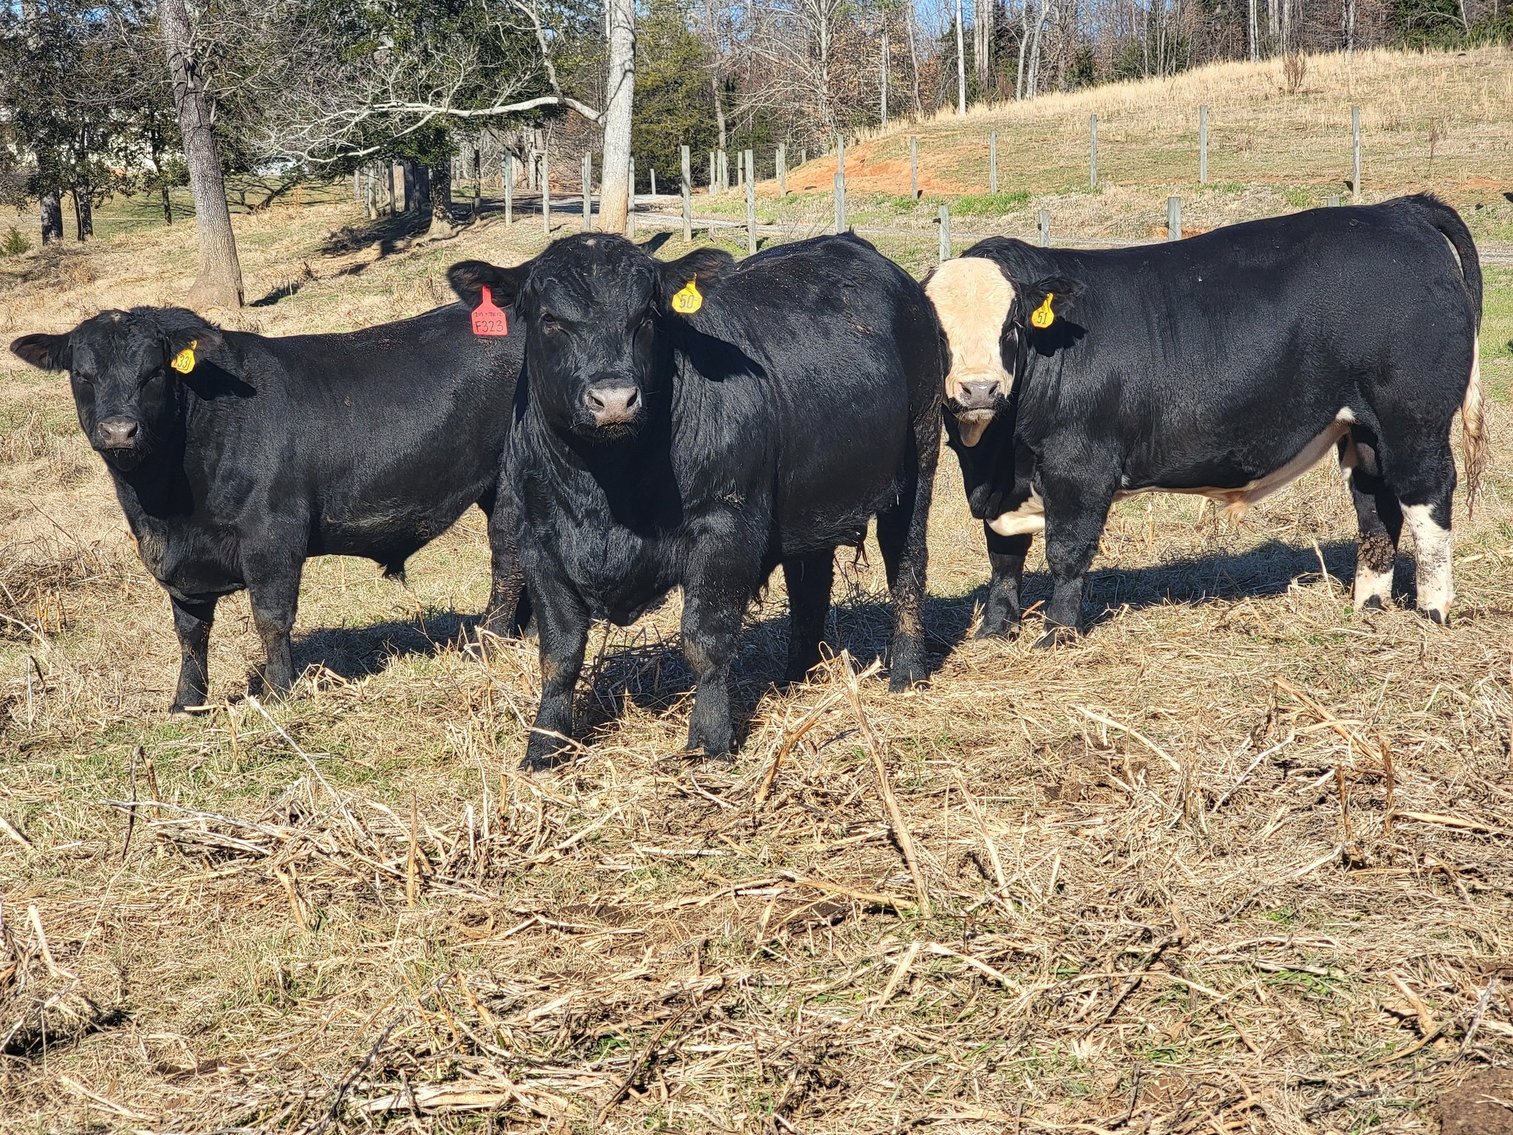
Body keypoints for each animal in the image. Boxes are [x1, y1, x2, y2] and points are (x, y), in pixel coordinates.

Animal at [9, 302, 527, 710]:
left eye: (154, 372)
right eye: (82, 374)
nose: (119, 431)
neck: (164, 509)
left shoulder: (272, 534)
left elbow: (271, 617)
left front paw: (278, 693)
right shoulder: (178, 560)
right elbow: (190, 631)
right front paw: (186, 703)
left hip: (513, 479)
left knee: (509, 561)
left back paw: (488, 643)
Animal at [448, 232, 942, 769]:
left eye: (647, 316)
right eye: (549, 318)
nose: (614, 399)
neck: (605, 489)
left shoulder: (725, 526)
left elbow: (705, 638)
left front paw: (708, 740)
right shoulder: (538, 538)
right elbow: (559, 652)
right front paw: (544, 745)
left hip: (920, 455)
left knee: (907, 565)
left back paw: (907, 672)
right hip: (810, 501)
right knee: (810, 582)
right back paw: (795, 677)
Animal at [923, 193, 1485, 645]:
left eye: (1012, 324)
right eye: (939, 332)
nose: (980, 388)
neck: (996, 455)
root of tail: (1398, 210)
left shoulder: (1079, 466)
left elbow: (1066, 552)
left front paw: (1057, 635)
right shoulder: (999, 485)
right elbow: (1003, 556)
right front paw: (996, 631)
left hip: (1412, 420)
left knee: (1426, 496)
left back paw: (1432, 609)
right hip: (1363, 431)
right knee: (1375, 505)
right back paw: (1368, 606)